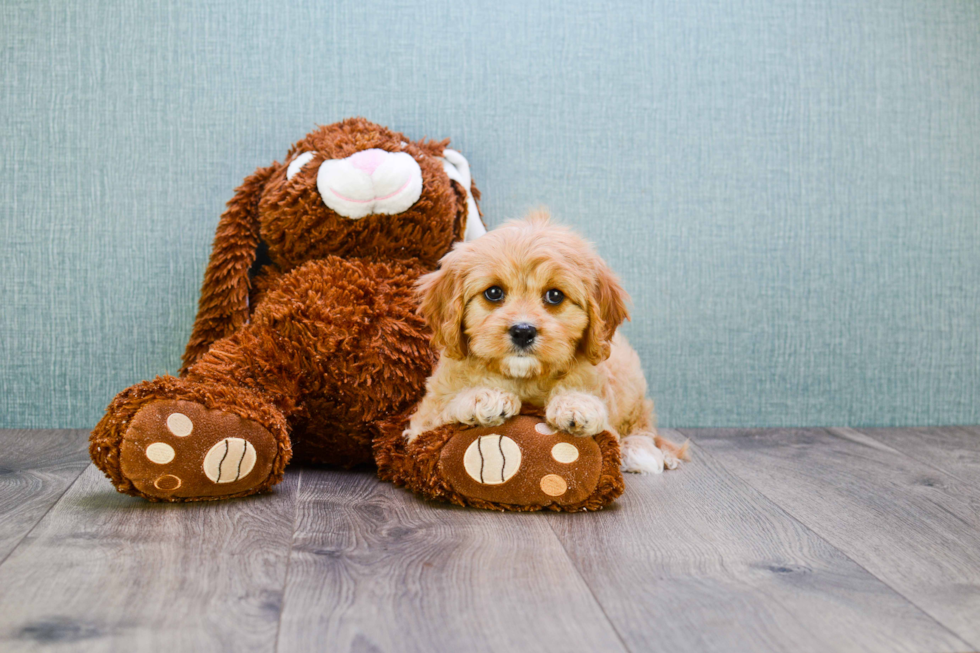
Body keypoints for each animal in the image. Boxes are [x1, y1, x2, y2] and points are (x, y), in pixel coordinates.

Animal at [406, 211, 688, 472]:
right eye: (494, 292)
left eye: (555, 295)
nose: (523, 331)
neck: (524, 379)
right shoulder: (420, 423)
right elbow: (442, 411)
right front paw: (484, 398)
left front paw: (576, 405)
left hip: (632, 385)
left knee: (643, 422)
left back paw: (640, 450)